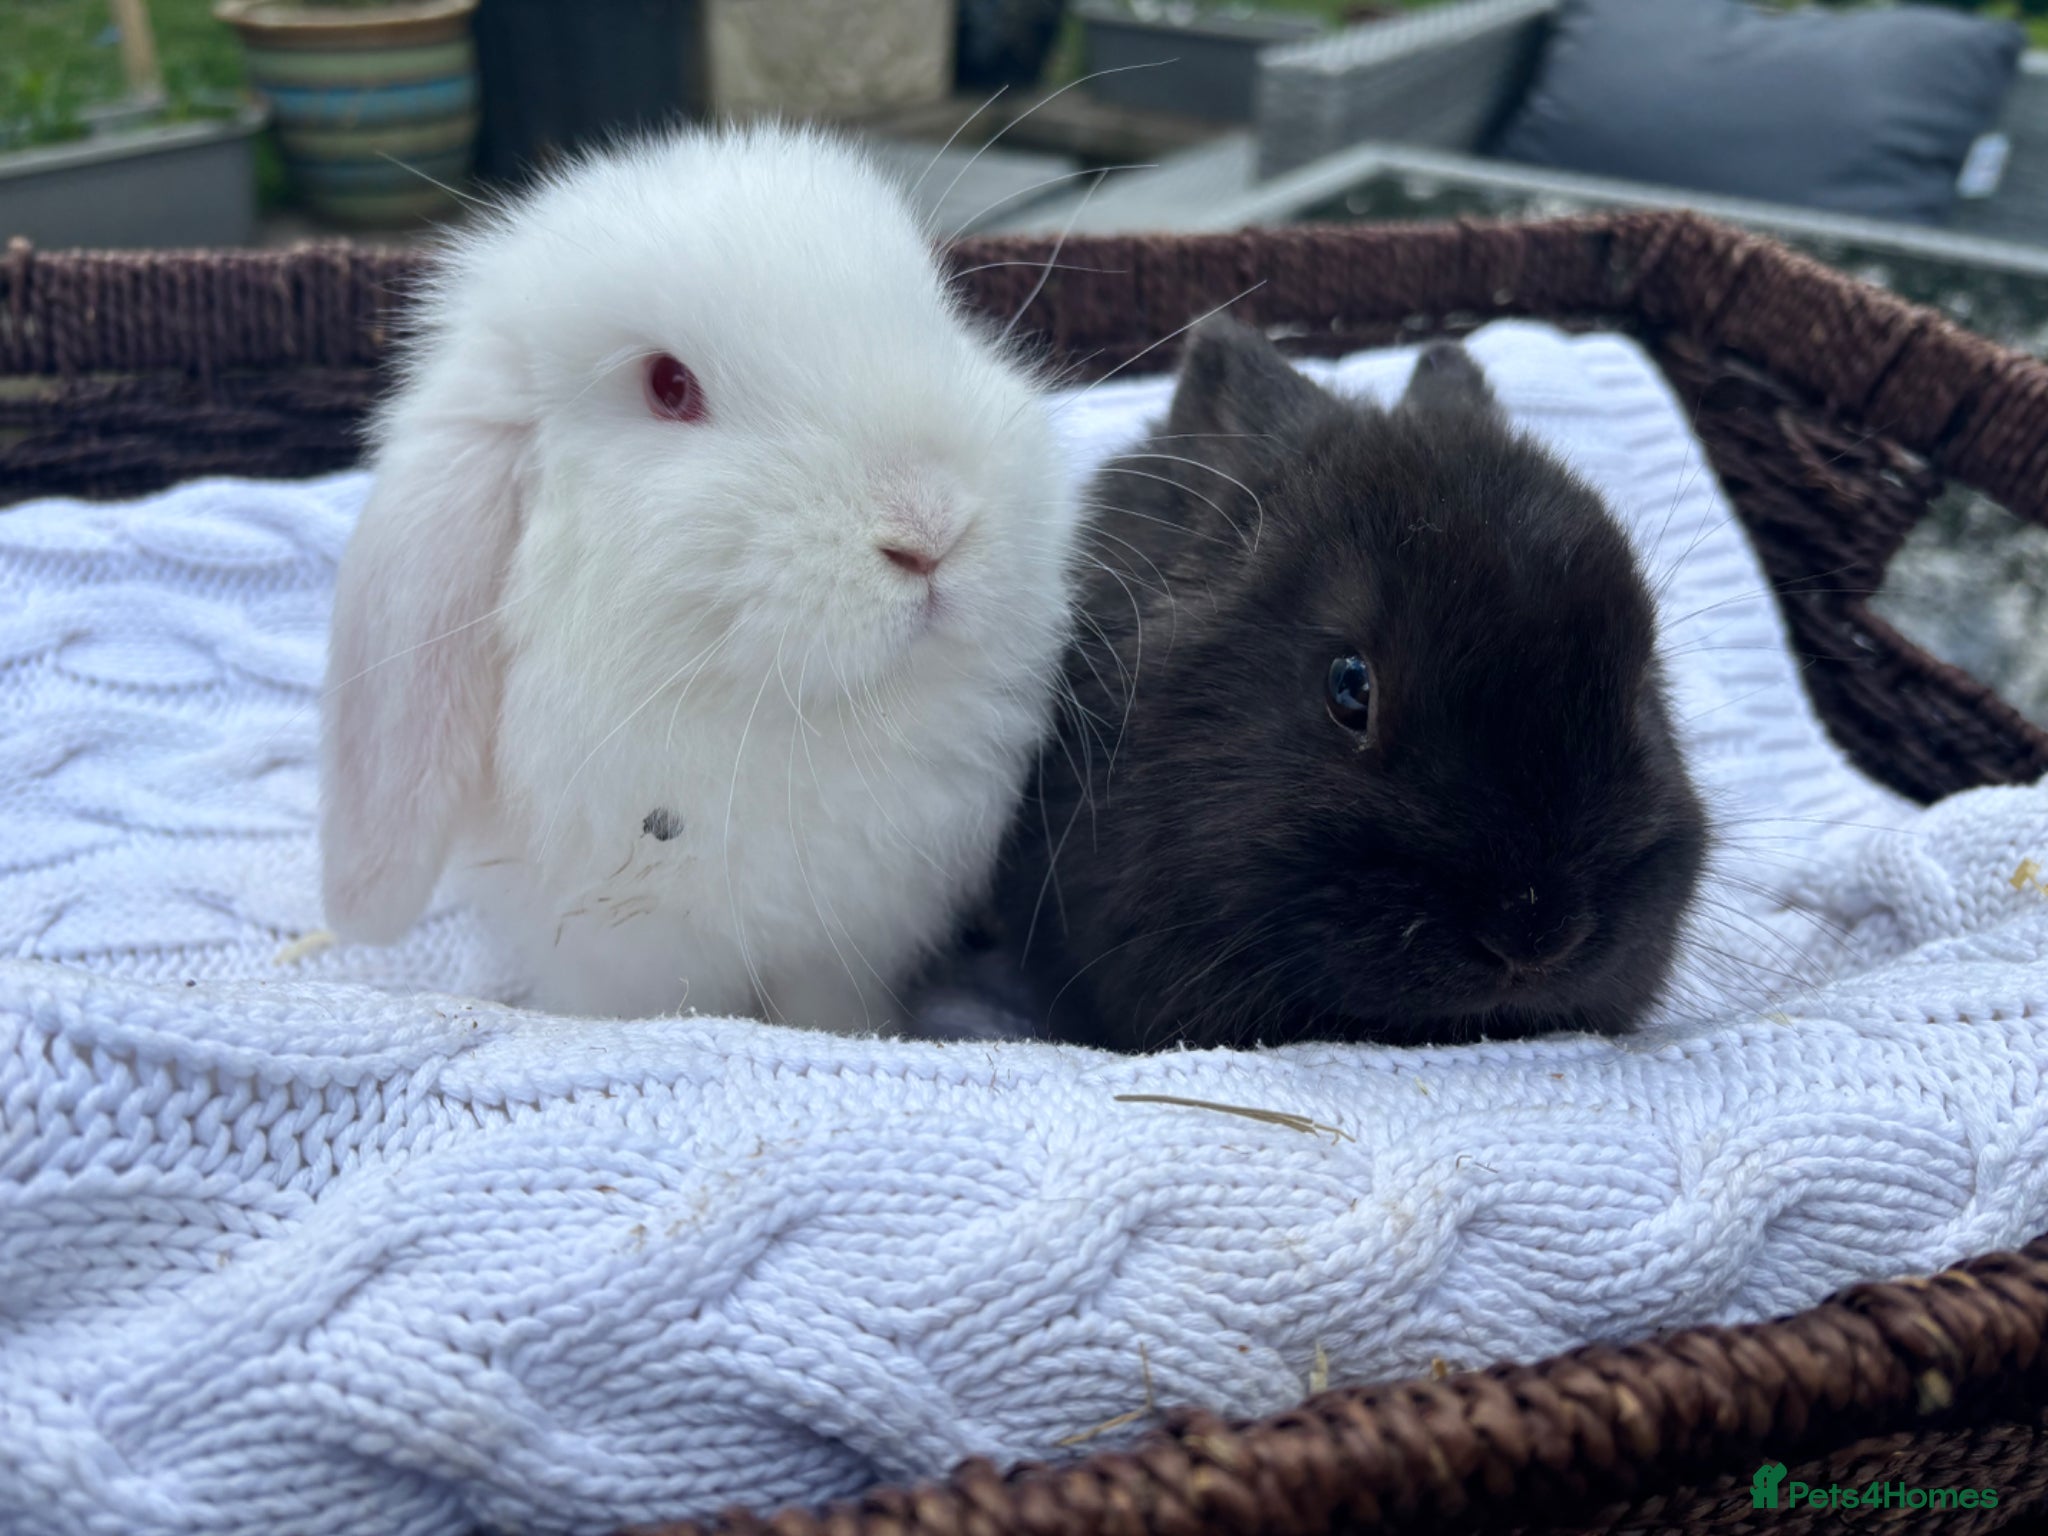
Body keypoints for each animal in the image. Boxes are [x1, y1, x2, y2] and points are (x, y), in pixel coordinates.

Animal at [319, 122, 1078, 1028]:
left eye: (942, 313)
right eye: (668, 385)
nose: (930, 531)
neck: (787, 720)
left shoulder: (841, 953)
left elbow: (831, 1017)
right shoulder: (626, 958)